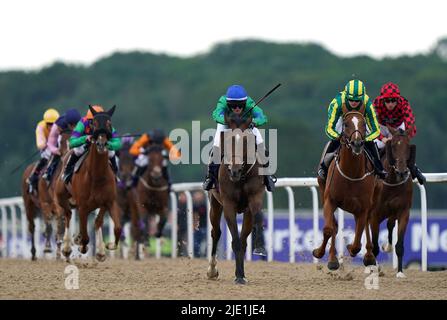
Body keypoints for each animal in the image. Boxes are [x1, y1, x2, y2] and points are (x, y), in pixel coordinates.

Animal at [55, 106, 122, 262]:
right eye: (94, 123)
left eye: (109, 123)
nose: (101, 144)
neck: (97, 175)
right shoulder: (83, 206)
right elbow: (85, 236)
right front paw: (81, 245)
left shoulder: (109, 201)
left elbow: (116, 228)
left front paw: (108, 247)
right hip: (61, 196)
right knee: (68, 214)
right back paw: (67, 248)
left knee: (95, 221)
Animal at [208, 113, 268, 284]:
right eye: (227, 141)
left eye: (247, 141)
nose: (234, 171)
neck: (241, 177)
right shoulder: (228, 205)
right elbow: (234, 240)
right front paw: (239, 275)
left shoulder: (254, 198)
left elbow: (257, 217)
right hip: (215, 204)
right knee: (216, 232)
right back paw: (212, 270)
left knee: (243, 239)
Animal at [316, 105, 378, 270]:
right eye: (346, 124)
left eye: (364, 124)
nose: (357, 143)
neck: (352, 173)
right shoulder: (330, 200)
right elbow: (329, 229)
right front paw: (320, 253)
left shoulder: (363, 207)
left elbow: (357, 242)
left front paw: (351, 247)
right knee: (334, 227)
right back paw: (332, 259)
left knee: (366, 224)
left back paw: (369, 256)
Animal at [370, 126, 414, 276]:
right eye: (393, 146)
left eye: (408, 146)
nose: (402, 172)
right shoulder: (374, 215)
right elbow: (374, 245)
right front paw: (373, 269)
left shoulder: (403, 212)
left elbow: (399, 244)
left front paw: (400, 272)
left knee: (390, 224)